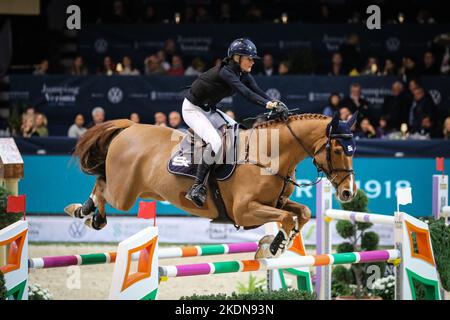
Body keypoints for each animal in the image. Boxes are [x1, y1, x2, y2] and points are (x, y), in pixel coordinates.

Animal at [64, 112, 358, 258]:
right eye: (338, 150)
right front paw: (274, 247)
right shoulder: (245, 211)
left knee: (101, 183)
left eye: (353, 150)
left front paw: (280, 241)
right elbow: (285, 218)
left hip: (139, 189)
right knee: (103, 188)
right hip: (124, 194)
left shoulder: (277, 202)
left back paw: (86, 212)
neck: (270, 154)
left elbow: (302, 213)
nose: (347, 192)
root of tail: (130, 127)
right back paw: (86, 213)